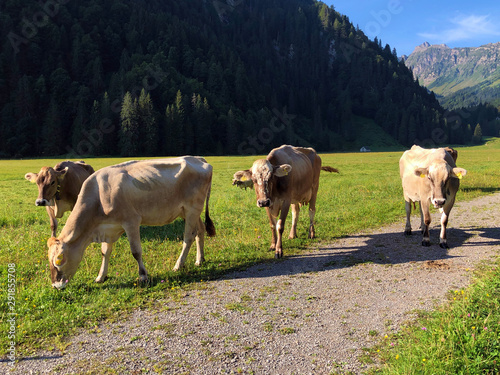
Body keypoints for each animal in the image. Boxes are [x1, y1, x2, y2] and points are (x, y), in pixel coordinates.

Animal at [47, 156, 217, 290]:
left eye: (58, 260)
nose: (55, 285)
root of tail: (198, 158)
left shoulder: (131, 221)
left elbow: (136, 251)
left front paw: (143, 276)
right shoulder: (108, 228)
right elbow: (105, 252)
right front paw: (101, 276)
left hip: (192, 208)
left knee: (188, 237)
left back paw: (178, 265)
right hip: (188, 211)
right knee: (200, 230)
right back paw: (199, 259)